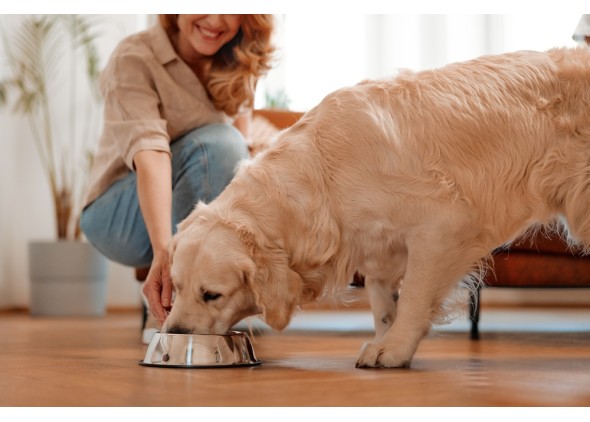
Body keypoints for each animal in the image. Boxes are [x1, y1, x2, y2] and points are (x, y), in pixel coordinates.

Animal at [162, 47, 590, 368]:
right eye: (176, 287)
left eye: (212, 295)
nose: (174, 334)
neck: (324, 176)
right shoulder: (378, 246)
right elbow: (384, 301)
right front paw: (385, 337)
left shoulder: (441, 226)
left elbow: (414, 294)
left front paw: (394, 349)